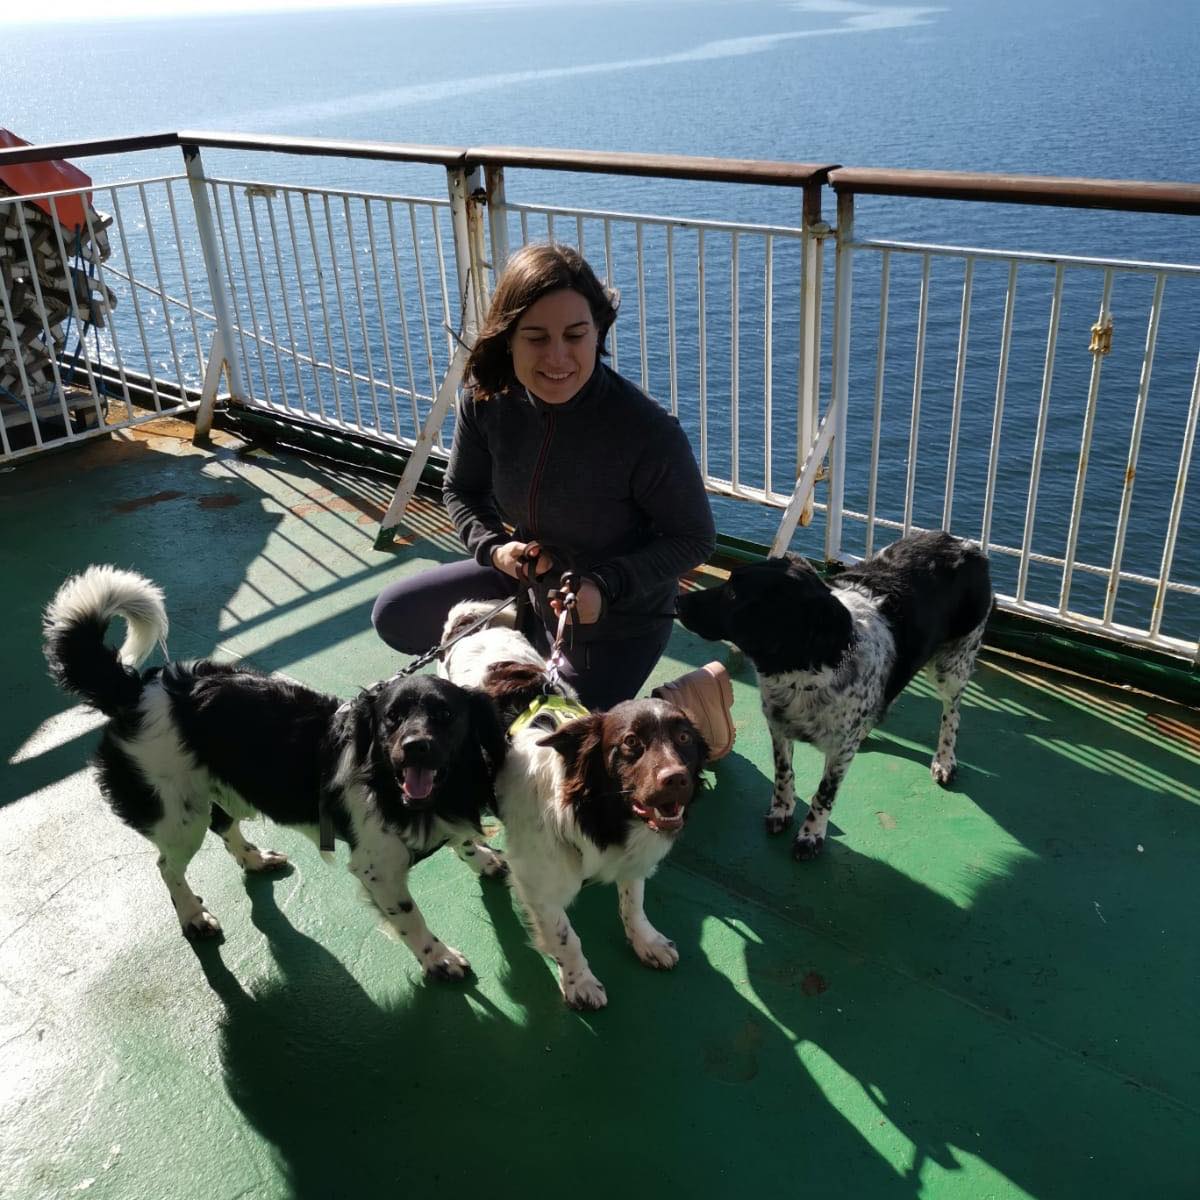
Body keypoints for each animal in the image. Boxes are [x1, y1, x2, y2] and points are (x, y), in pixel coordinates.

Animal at [676, 530, 993, 859]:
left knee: (952, 712)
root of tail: (963, 544)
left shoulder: (839, 749)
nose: (677, 599)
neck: (806, 670)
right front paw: (781, 810)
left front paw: (810, 835)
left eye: (733, 595)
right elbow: (783, 772)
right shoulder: (778, 725)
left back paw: (944, 760)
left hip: (952, 666)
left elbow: (824, 793)